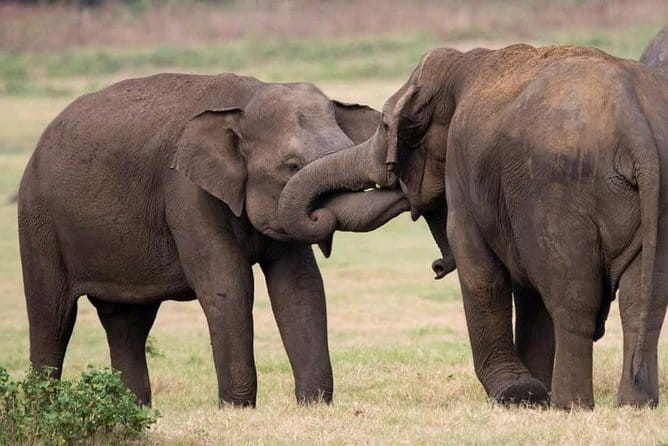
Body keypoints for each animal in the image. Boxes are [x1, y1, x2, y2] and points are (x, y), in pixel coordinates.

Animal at [17, 73, 409, 407]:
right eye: (292, 166)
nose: (404, 183)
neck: (244, 100)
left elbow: (300, 286)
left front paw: (313, 406)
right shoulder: (184, 190)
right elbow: (228, 284)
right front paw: (238, 409)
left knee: (128, 322)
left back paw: (135, 410)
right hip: (37, 218)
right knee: (52, 314)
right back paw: (41, 410)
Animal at [278, 44, 668, 409]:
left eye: (386, 126)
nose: (436, 266)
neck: (463, 63)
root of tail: (637, 130)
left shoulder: (465, 171)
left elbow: (481, 269)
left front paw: (516, 393)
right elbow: (528, 288)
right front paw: (531, 392)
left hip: (559, 196)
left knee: (572, 296)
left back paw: (569, 405)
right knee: (641, 300)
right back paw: (634, 403)